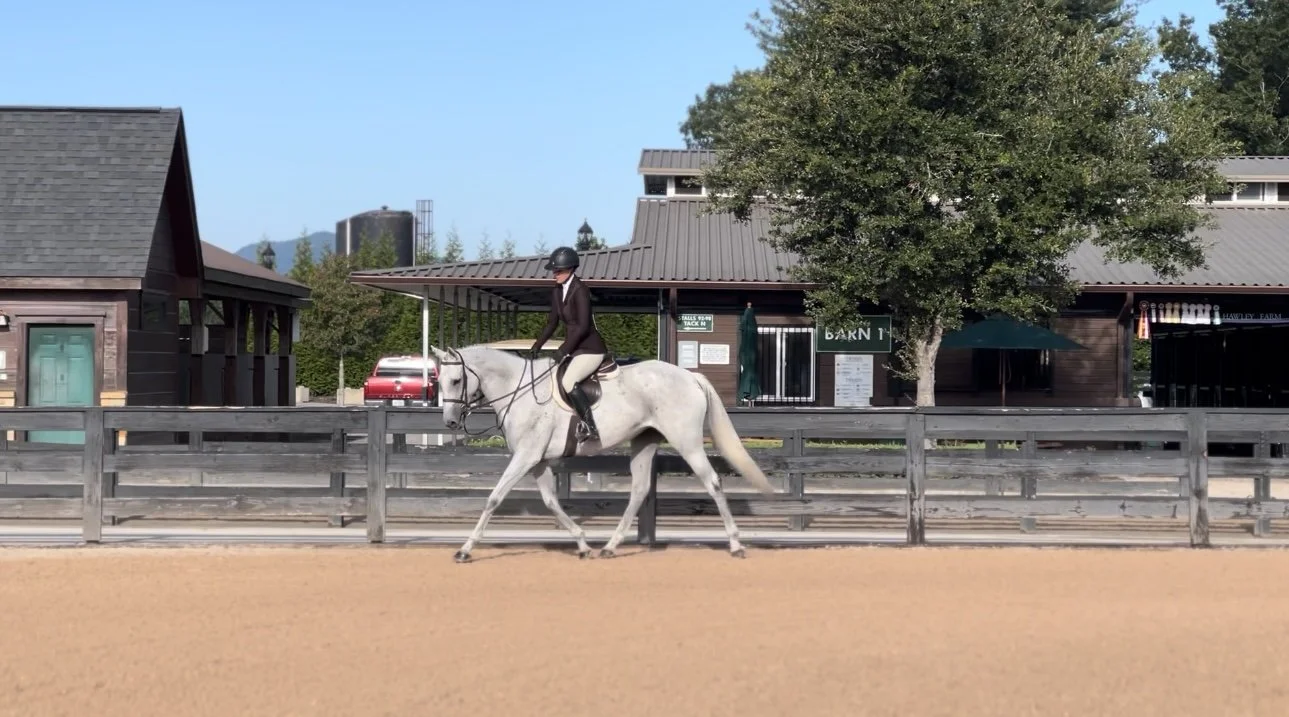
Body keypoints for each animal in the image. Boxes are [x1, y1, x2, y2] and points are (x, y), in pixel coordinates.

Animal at [429, 344, 776, 562]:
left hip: (686, 441)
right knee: (639, 490)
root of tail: (691, 376)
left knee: (713, 482)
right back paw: (609, 546)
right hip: (644, 442)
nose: (450, 422)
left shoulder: (526, 457)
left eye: (456, 380)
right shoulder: (537, 461)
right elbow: (551, 502)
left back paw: (736, 544)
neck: (519, 389)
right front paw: (582, 544)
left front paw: (465, 550)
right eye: (438, 381)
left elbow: (494, 498)